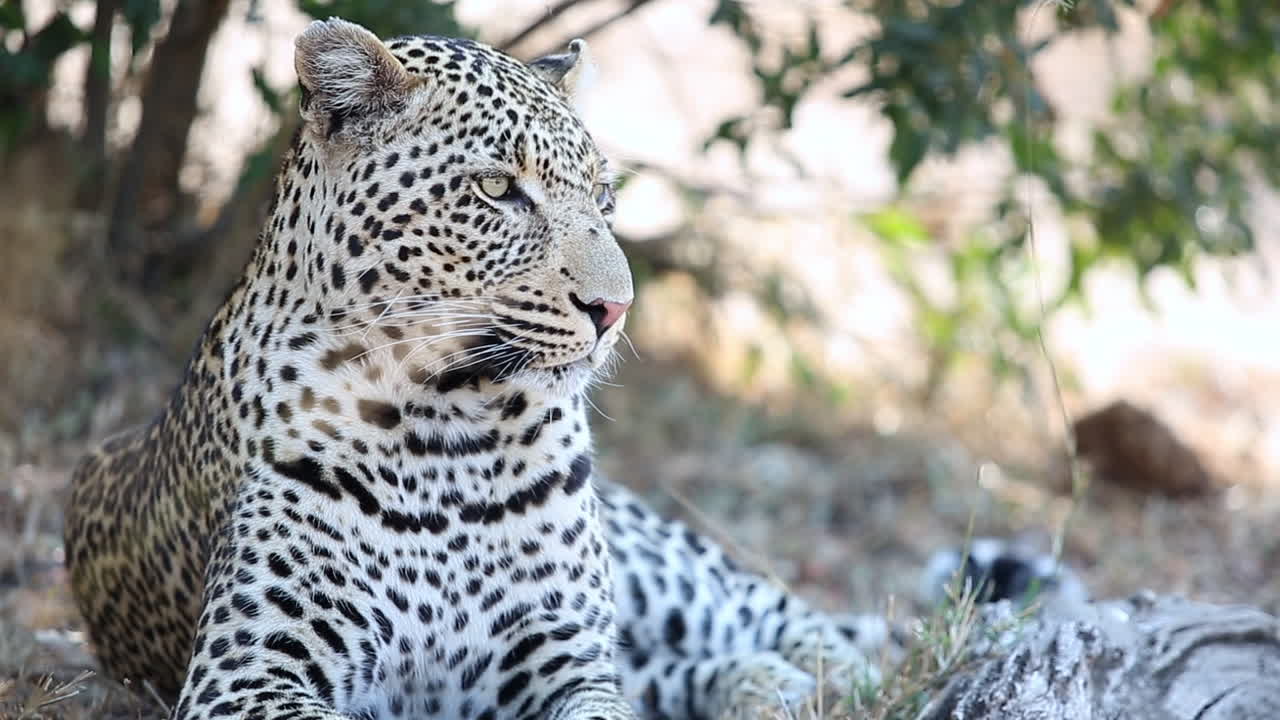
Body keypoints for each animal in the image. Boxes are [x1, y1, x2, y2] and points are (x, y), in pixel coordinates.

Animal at [63, 18, 1049, 720]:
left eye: (605, 198)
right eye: (499, 190)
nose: (615, 310)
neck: (446, 430)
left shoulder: (566, 657)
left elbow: (612, 698)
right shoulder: (250, 673)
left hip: (666, 572)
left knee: (805, 624)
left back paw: (813, 679)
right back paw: (759, 686)